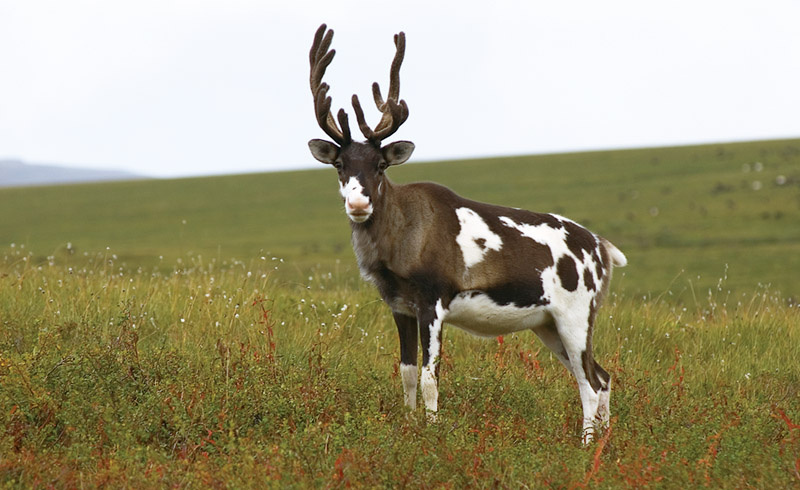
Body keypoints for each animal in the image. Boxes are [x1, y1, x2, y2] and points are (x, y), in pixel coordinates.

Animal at [306, 24, 627, 443]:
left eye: (380, 164)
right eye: (340, 164)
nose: (359, 203)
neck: (399, 249)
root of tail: (604, 250)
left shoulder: (434, 296)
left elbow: (430, 377)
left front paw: (432, 431)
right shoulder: (398, 304)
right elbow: (406, 372)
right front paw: (408, 425)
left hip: (578, 311)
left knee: (589, 382)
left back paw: (586, 443)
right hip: (548, 323)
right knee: (601, 376)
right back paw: (604, 439)